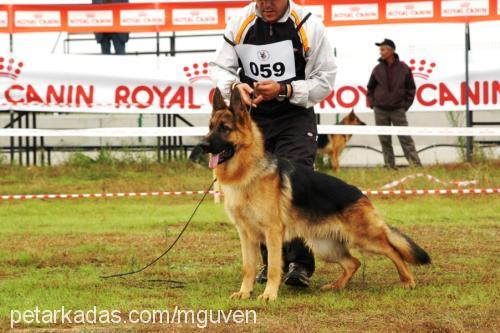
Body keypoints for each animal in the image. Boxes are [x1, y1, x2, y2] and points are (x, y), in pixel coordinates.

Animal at [199, 88, 430, 300]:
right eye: (210, 128)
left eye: (225, 129)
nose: (202, 145)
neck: (248, 171)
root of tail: (361, 194)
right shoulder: (246, 234)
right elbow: (248, 267)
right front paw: (244, 292)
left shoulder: (272, 233)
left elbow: (273, 267)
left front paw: (269, 295)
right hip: (325, 246)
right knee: (353, 262)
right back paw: (336, 286)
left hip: (365, 239)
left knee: (393, 251)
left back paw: (407, 280)